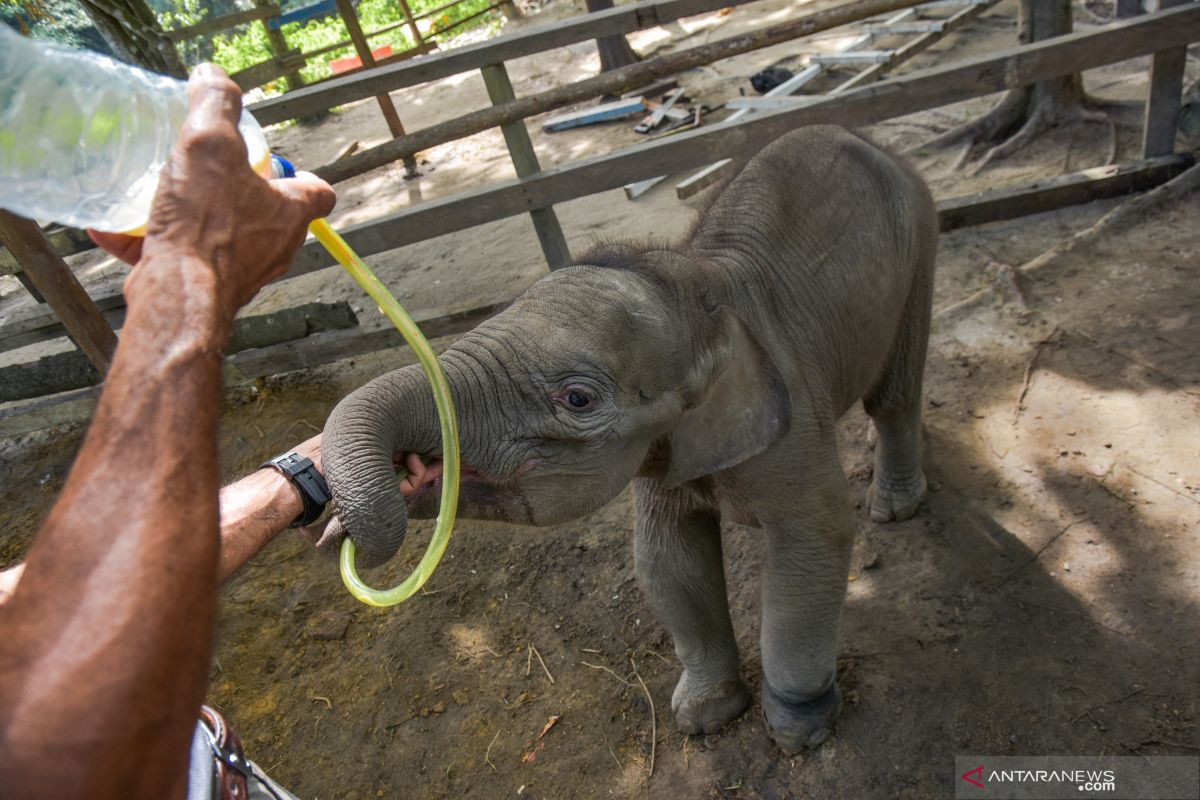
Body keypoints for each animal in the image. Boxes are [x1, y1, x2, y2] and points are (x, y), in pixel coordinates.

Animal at [321, 126, 936, 758]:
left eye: (577, 399)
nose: (333, 525)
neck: (703, 291)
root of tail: (868, 137)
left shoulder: (787, 421)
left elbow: (816, 537)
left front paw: (798, 733)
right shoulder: (663, 453)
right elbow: (666, 556)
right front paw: (704, 718)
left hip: (921, 234)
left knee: (892, 395)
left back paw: (893, 508)